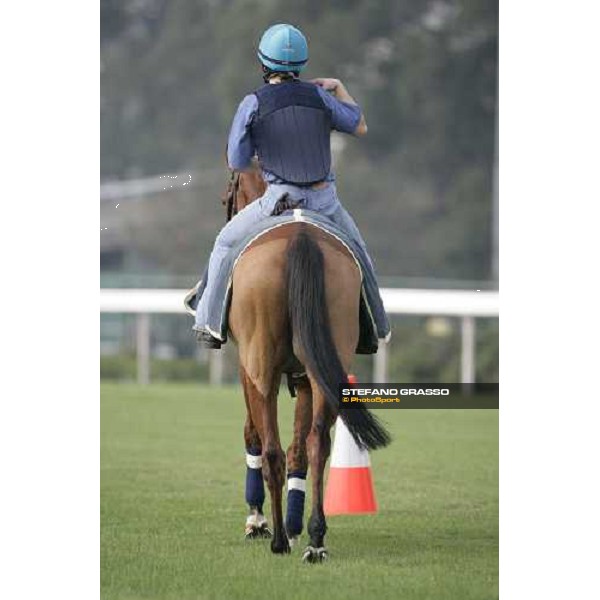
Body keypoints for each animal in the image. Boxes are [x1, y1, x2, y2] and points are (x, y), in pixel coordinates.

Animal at [220, 163, 390, 564]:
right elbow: (301, 447)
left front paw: (258, 522)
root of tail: (300, 237)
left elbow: (253, 435)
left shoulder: (247, 369)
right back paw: (315, 539)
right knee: (316, 444)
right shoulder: (303, 377)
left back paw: (279, 539)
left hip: (261, 365)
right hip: (327, 361)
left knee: (271, 450)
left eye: (229, 190)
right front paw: (297, 526)